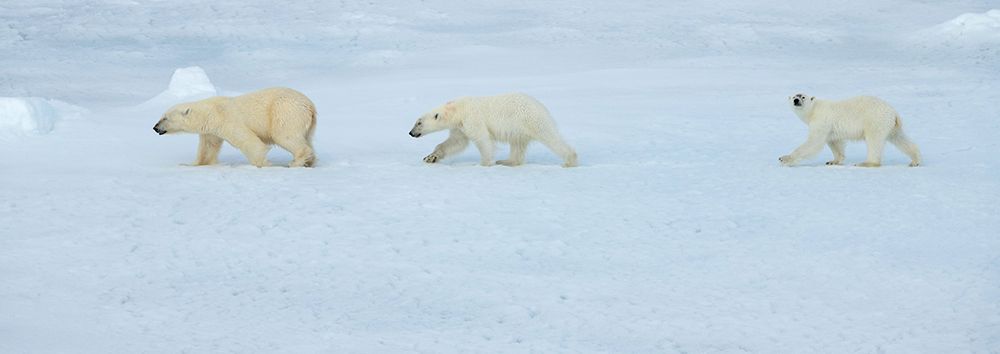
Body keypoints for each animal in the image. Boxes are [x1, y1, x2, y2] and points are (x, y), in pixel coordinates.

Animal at [153, 87, 316, 167]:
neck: (210, 112)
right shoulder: (211, 131)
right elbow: (208, 147)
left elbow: (249, 141)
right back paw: (309, 161)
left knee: (285, 136)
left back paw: (296, 162)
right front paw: (193, 164)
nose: (155, 127)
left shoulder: (226, 120)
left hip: (284, 112)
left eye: (165, 117)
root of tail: (310, 106)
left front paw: (261, 164)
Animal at [408, 92, 580, 167]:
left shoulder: (472, 118)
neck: (457, 110)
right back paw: (507, 161)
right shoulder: (460, 127)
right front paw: (431, 157)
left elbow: (482, 139)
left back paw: (569, 161)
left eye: (419, 123)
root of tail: (542, 106)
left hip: (530, 120)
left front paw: (485, 163)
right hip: (519, 129)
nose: (411, 133)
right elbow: (456, 142)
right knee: (518, 145)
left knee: (550, 137)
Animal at [780, 92, 920, 167]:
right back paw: (915, 160)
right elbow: (835, 142)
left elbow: (814, 142)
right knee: (900, 139)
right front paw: (833, 161)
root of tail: (894, 112)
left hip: (874, 121)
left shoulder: (821, 120)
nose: (796, 100)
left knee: (874, 142)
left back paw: (865, 163)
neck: (813, 110)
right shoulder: (831, 129)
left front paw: (784, 159)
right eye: (794, 96)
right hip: (890, 126)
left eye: (803, 96)